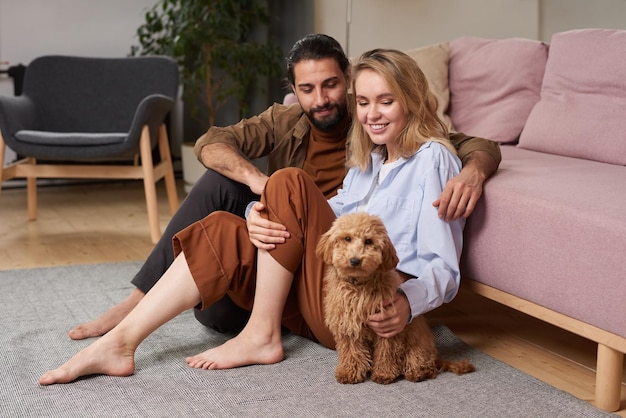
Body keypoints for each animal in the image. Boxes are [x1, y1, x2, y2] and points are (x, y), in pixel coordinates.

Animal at [314, 214, 470, 384]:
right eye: (347, 238)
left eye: (369, 241)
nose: (355, 260)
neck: (359, 286)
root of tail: (436, 358)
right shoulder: (348, 325)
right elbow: (352, 351)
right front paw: (349, 372)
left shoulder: (388, 327)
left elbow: (386, 351)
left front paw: (384, 373)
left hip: (418, 345)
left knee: (423, 363)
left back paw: (417, 372)